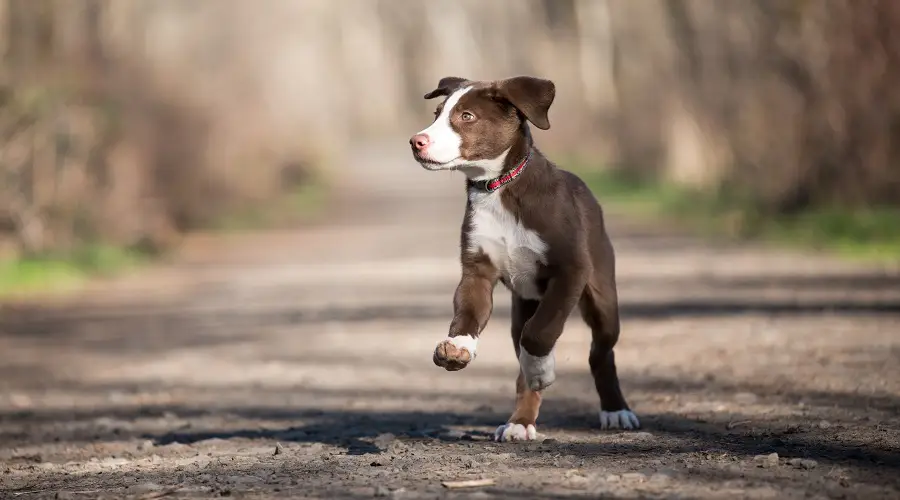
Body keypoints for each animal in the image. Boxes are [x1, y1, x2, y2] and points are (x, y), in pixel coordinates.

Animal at [410, 74, 640, 442]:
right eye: (436, 113)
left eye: (467, 117)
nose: (416, 142)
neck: (499, 188)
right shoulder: (476, 271)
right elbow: (468, 312)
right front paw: (458, 346)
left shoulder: (571, 271)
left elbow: (541, 332)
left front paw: (542, 371)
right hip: (524, 305)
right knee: (522, 352)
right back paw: (520, 421)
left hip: (602, 294)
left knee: (598, 351)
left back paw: (615, 410)